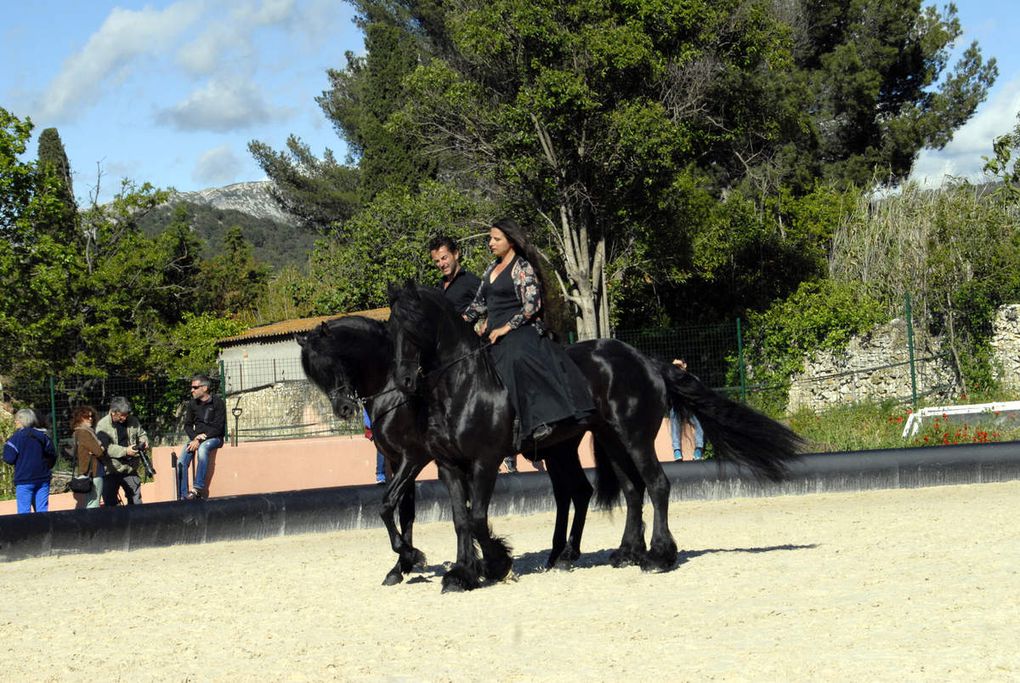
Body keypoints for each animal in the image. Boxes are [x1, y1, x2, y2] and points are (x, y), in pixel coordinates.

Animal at [389, 283, 803, 595]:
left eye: (415, 325)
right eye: (392, 329)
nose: (405, 381)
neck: (463, 385)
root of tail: (646, 361)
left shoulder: (485, 462)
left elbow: (476, 519)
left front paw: (497, 564)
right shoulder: (448, 466)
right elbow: (460, 520)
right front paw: (461, 574)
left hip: (634, 438)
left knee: (656, 485)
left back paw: (658, 557)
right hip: (610, 440)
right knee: (633, 490)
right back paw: (626, 552)